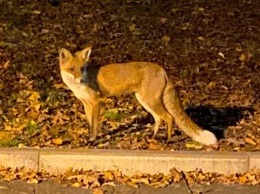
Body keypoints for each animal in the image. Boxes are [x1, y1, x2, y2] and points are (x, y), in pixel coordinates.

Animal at [59, 46, 217, 145]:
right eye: (72, 69)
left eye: (82, 68)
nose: (81, 80)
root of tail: (163, 70)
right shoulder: (86, 103)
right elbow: (89, 124)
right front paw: (88, 139)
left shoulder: (96, 102)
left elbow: (95, 126)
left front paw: (94, 141)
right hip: (144, 101)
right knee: (159, 118)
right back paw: (152, 137)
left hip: (150, 101)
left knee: (169, 117)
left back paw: (167, 140)